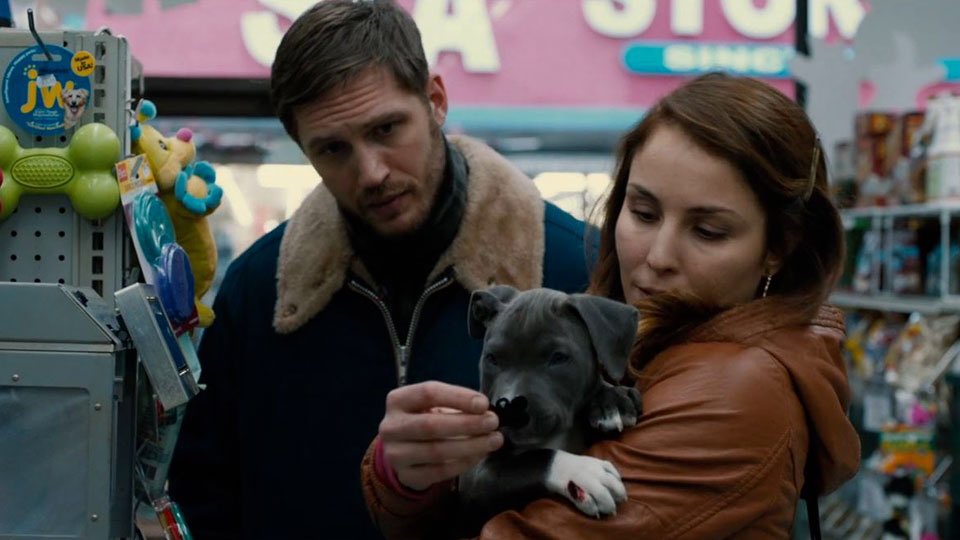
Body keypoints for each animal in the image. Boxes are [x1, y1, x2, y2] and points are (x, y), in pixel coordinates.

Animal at [458, 285, 641, 533]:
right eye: (492, 358)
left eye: (559, 358)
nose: (511, 410)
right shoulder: (474, 478)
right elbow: (532, 459)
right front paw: (581, 471)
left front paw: (611, 400)